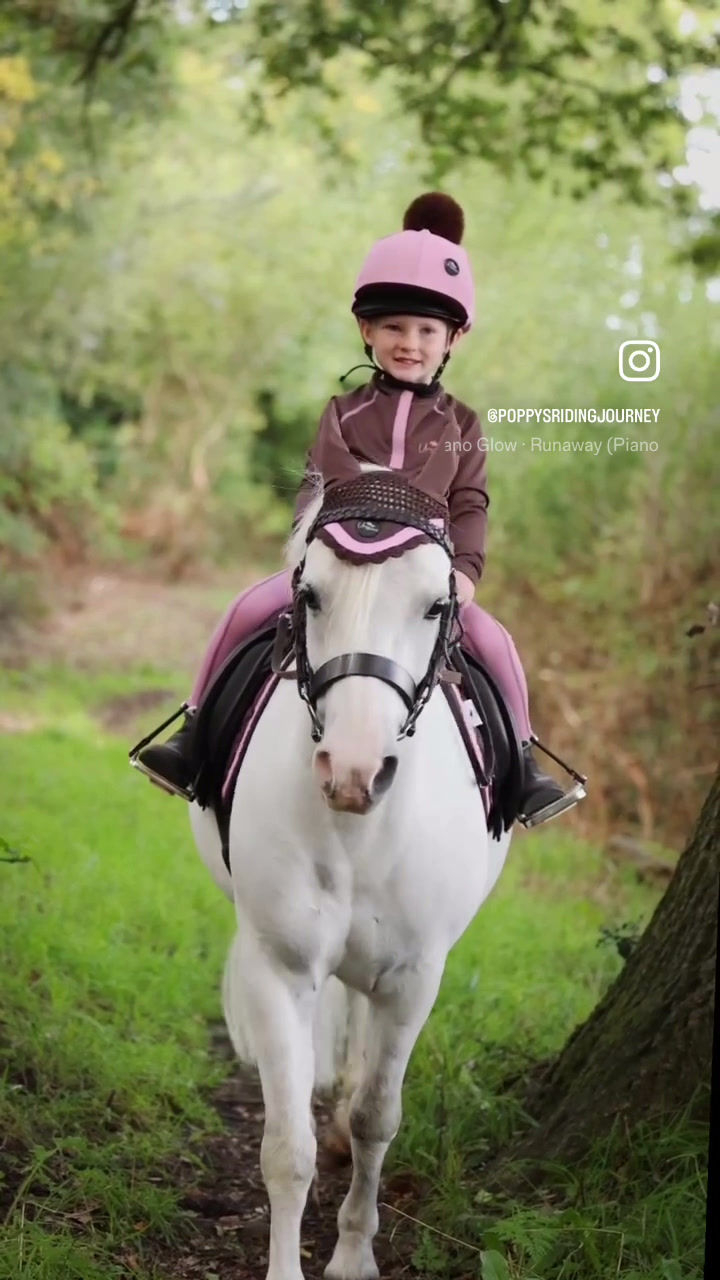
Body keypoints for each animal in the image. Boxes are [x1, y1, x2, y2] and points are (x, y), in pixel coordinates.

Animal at [189, 470, 513, 1280]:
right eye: (311, 596)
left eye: (435, 605)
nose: (354, 772)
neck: (357, 827)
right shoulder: (279, 968)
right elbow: (286, 1148)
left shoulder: (415, 975)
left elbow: (376, 1117)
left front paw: (354, 1255)